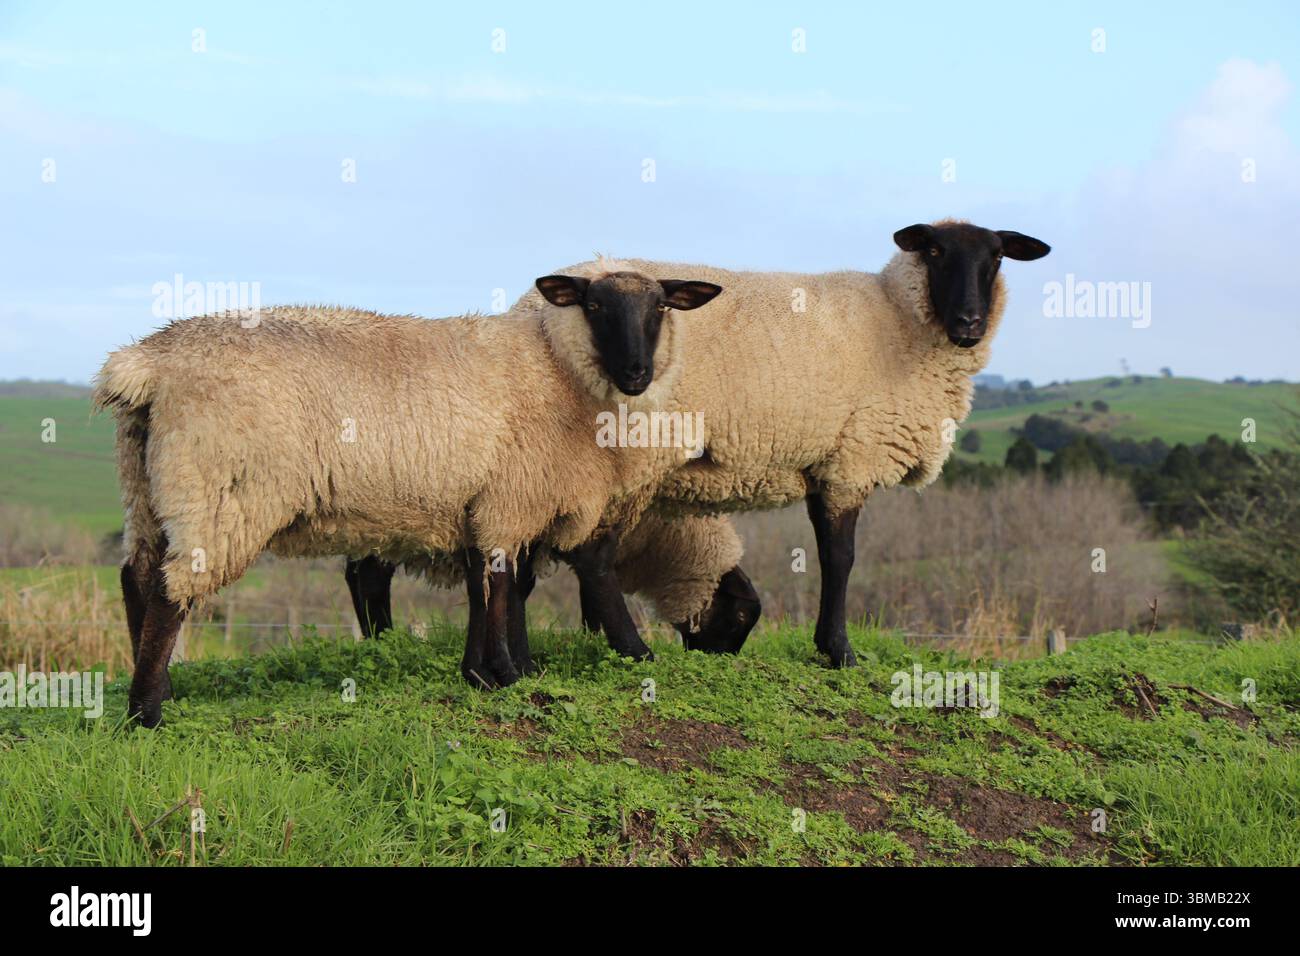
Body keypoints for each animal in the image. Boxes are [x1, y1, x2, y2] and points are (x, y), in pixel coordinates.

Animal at [94, 264, 722, 726]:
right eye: (595, 307)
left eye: (660, 308)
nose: (636, 372)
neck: (556, 371)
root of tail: (146, 365)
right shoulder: (509, 499)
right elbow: (500, 586)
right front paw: (506, 674)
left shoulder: (482, 502)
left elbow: (486, 587)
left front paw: (486, 672)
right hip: (220, 488)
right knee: (172, 589)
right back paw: (146, 712)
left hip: (145, 484)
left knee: (137, 576)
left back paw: (160, 690)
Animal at [547, 220, 1050, 667]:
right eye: (934, 251)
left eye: (997, 257)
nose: (970, 322)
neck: (897, 317)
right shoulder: (851, 460)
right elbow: (840, 559)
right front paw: (839, 652)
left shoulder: (824, 465)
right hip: (621, 459)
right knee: (591, 555)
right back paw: (632, 650)